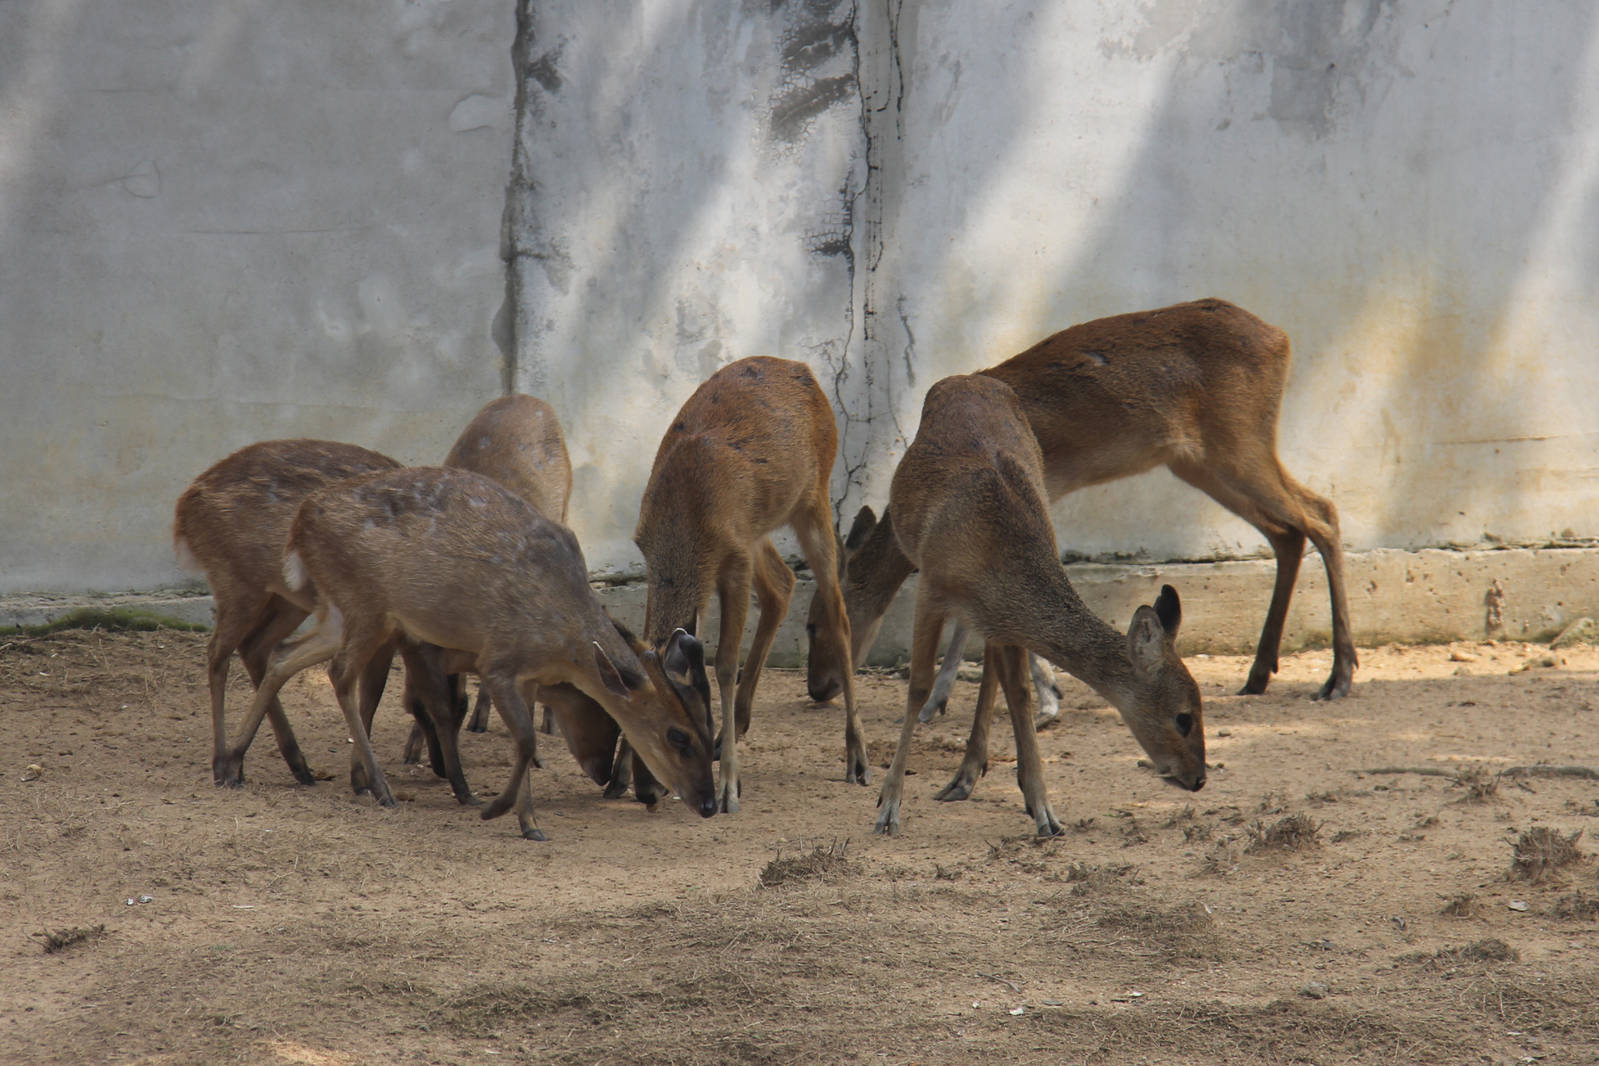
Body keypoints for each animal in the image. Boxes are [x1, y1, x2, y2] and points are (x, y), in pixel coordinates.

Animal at [214, 466, 718, 839]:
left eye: (710, 730)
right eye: (677, 736)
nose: (710, 803)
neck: (563, 637)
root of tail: (297, 528)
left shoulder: (529, 677)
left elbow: (526, 741)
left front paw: (529, 823)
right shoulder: (497, 660)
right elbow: (527, 740)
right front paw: (494, 808)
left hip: (339, 609)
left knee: (283, 654)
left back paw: (233, 764)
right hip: (366, 602)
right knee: (339, 675)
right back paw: (378, 787)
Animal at [628, 355, 866, 814]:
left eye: (676, 731)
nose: (646, 790)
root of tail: (804, 369)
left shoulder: (734, 559)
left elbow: (723, 663)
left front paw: (728, 791)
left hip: (813, 499)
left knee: (838, 611)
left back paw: (857, 758)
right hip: (759, 528)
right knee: (783, 584)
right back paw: (735, 729)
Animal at [808, 298, 1355, 713]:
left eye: (815, 622)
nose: (818, 688)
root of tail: (1281, 338)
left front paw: (1040, 699)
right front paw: (945, 700)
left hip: (1239, 442)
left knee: (1322, 514)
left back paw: (1338, 676)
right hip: (1199, 462)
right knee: (1288, 531)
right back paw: (1260, 673)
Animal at [873, 373, 1207, 837]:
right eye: (1183, 717)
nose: (1199, 778)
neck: (993, 552)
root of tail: (967, 378)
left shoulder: (1001, 617)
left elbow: (1020, 693)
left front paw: (1045, 812)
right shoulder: (932, 585)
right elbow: (919, 685)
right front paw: (887, 808)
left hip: (994, 620)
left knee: (999, 677)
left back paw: (967, 777)